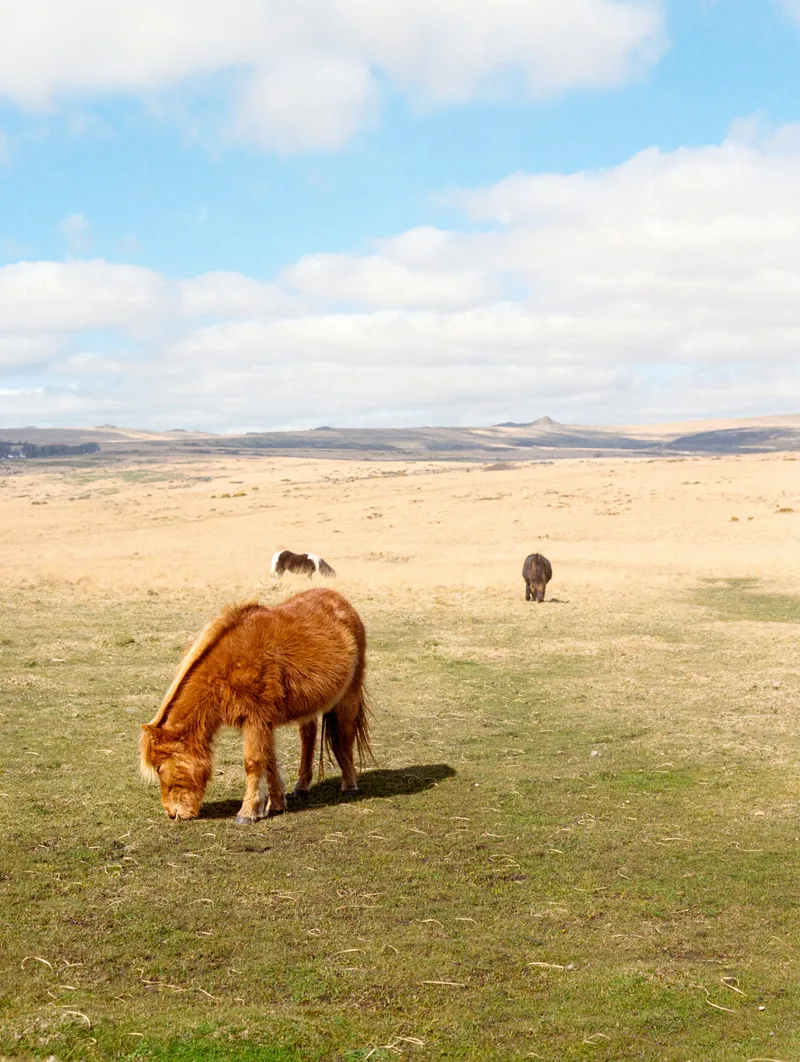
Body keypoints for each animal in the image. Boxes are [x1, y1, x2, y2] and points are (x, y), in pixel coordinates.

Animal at [140, 588, 371, 823]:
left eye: (159, 767)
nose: (171, 813)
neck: (228, 664)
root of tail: (342, 604)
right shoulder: (264, 723)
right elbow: (269, 762)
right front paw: (276, 804)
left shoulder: (255, 720)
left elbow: (253, 762)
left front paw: (248, 812)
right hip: (308, 708)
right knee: (308, 738)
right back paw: (301, 786)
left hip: (348, 696)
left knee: (345, 737)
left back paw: (350, 785)